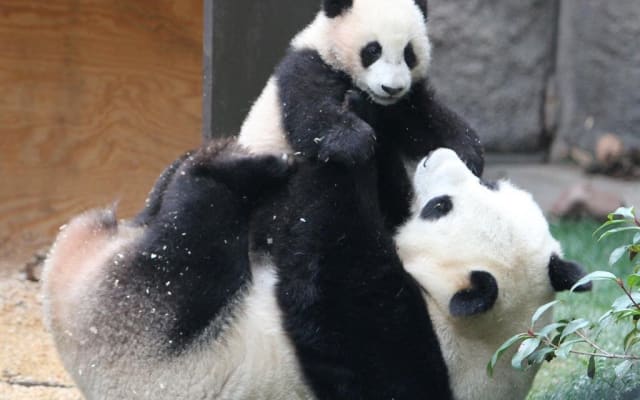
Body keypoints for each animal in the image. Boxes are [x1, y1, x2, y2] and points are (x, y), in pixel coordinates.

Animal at [43, 143, 590, 400]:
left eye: (440, 208)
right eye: (491, 184)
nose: (438, 154)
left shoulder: (397, 352)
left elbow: (330, 274)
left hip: (145, 328)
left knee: (189, 240)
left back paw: (228, 170)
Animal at [237, 0, 484, 230]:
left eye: (409, 53)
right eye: (373, 50)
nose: (392, 88)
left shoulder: (402, 103)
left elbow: (423, 121)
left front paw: (467, 153)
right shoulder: (308, 67)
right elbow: (313, 115)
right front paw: (353, 142)